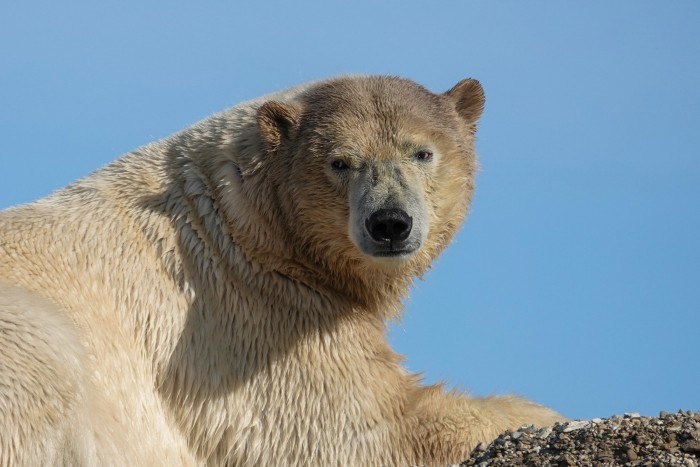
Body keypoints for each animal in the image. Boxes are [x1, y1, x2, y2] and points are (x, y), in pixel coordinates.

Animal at [0, 75, 564, 466]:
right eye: (340, 162)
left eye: (422, 152)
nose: (389, 223)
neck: (241, 219)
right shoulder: (254, 314)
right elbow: (368, 432)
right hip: (31, 339)